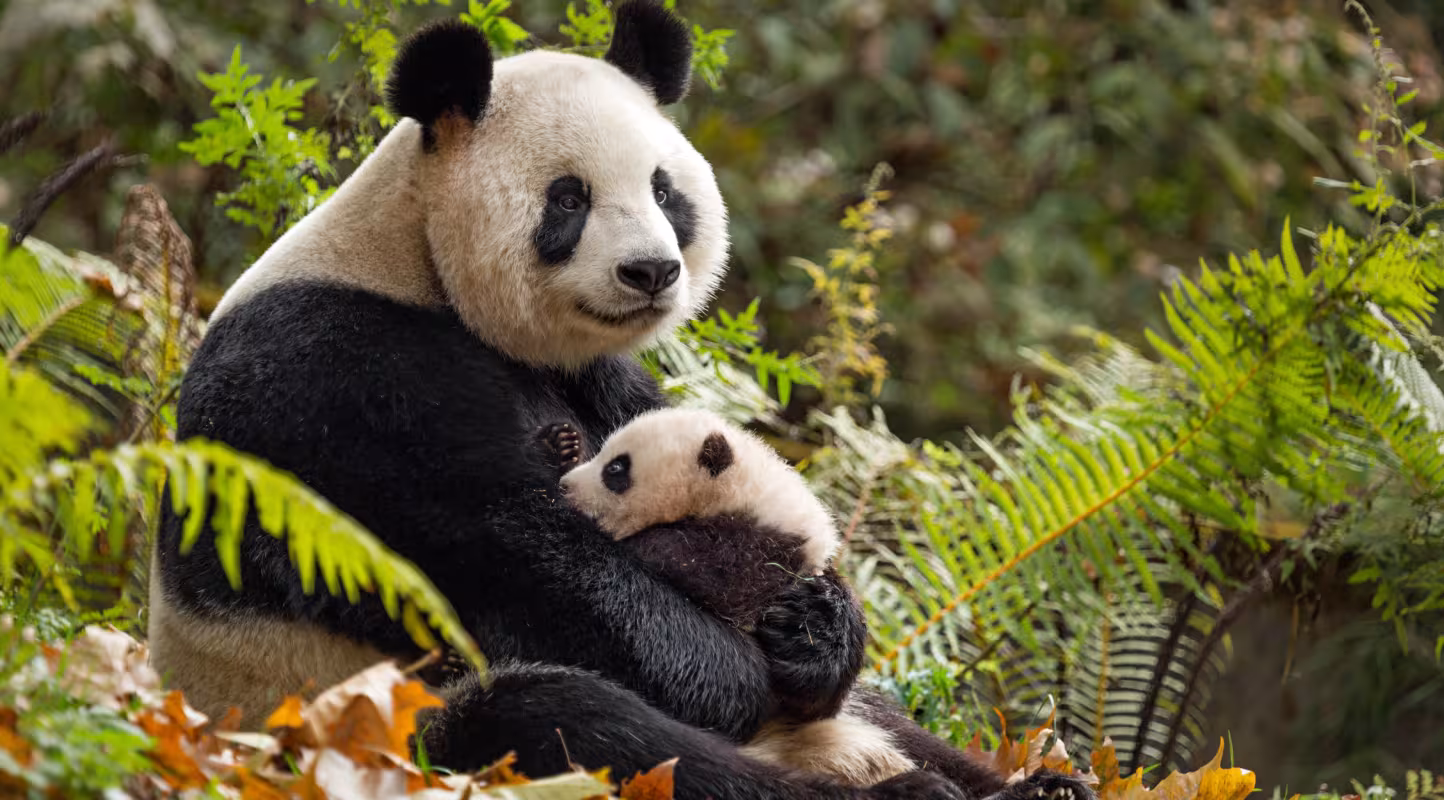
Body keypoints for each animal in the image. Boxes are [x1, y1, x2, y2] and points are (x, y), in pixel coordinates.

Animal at [147, 4, 1093, 800]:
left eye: (665, 190)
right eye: (568, 198)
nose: (652, 271)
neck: (413, 260)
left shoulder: (604, 377)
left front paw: (819, 631)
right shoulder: (341, 389)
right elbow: (509, 564)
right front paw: (737, 667)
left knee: (883, 713)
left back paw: (1035, 785)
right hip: (362, 727)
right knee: (573, 726)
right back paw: (894, 790)